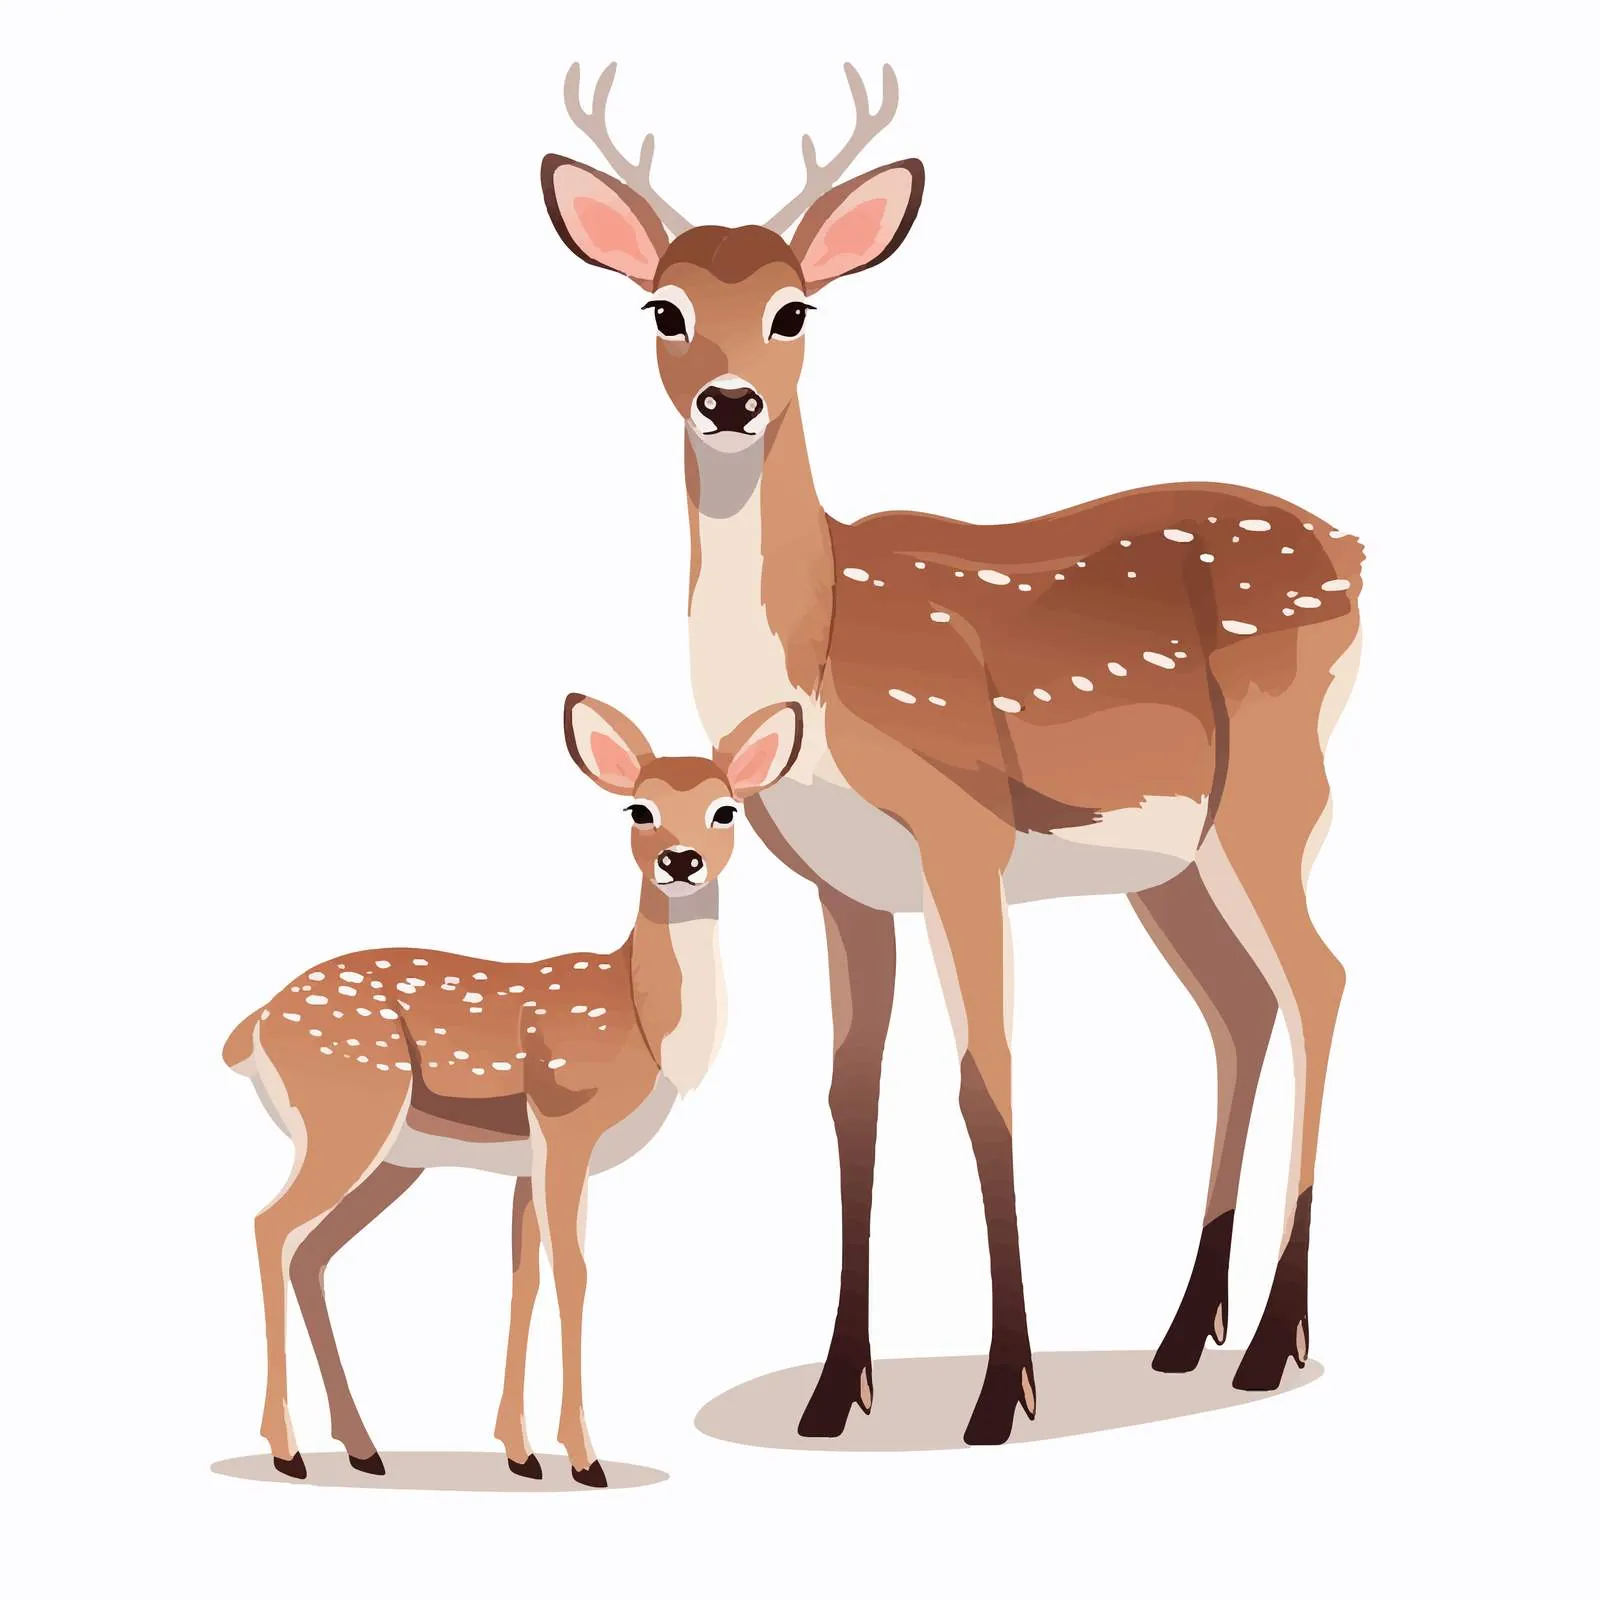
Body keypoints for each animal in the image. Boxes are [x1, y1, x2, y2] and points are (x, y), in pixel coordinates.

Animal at [222, 692, 802, 1485]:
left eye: (726, 810)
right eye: (638, 810)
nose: (679, 861)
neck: (642, 1025)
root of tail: (252, 1027)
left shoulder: (528, 1162)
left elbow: (524, 1277)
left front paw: (520, 1452)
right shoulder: (566, 1125)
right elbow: (575, 1273)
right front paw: (586, 1458)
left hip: (394, 1156)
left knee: (310, 1253)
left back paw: (363, 1447)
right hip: (350, 1114)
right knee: (269, 1226)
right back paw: (288, 1450)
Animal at [540, 63, 1365, 1447]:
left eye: (793, 309)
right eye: (663, 307)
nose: (729, 402)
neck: (819, 660)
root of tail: (1356, 553)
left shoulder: (962, 834)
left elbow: (987, 1081)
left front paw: (998, 1393)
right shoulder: (841, 883)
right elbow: (848, 1097)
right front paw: (832, 1392)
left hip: (1274, 791)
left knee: (1320, 980)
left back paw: (1264, 1344)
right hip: (1171, 863)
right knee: (1239, 1009)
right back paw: (1181, 1334)